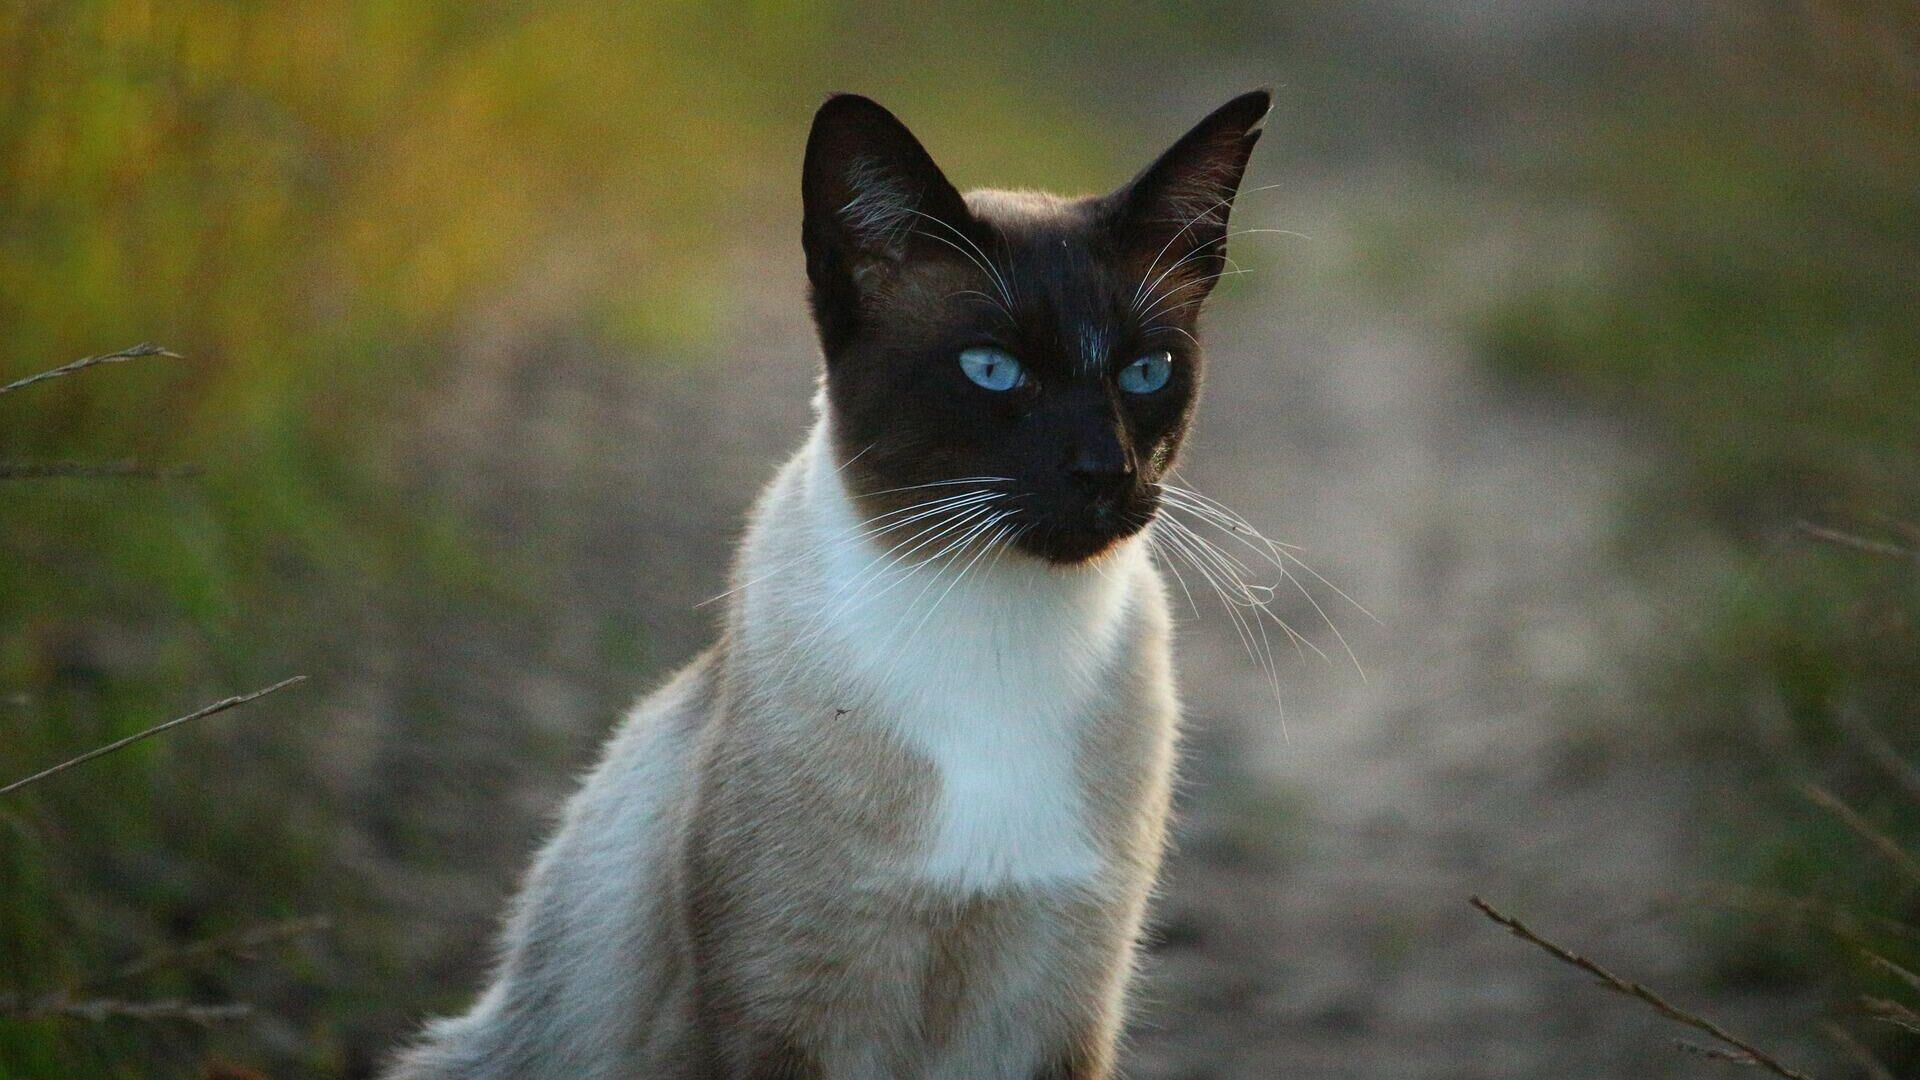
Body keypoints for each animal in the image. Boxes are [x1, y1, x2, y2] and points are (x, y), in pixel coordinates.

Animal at [382, 85, 1267, 1076]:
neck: (997, 633)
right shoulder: (783, 1016)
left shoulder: (1055, 1018)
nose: (1105, 471)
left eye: (1146, 372)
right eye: (992, 370)